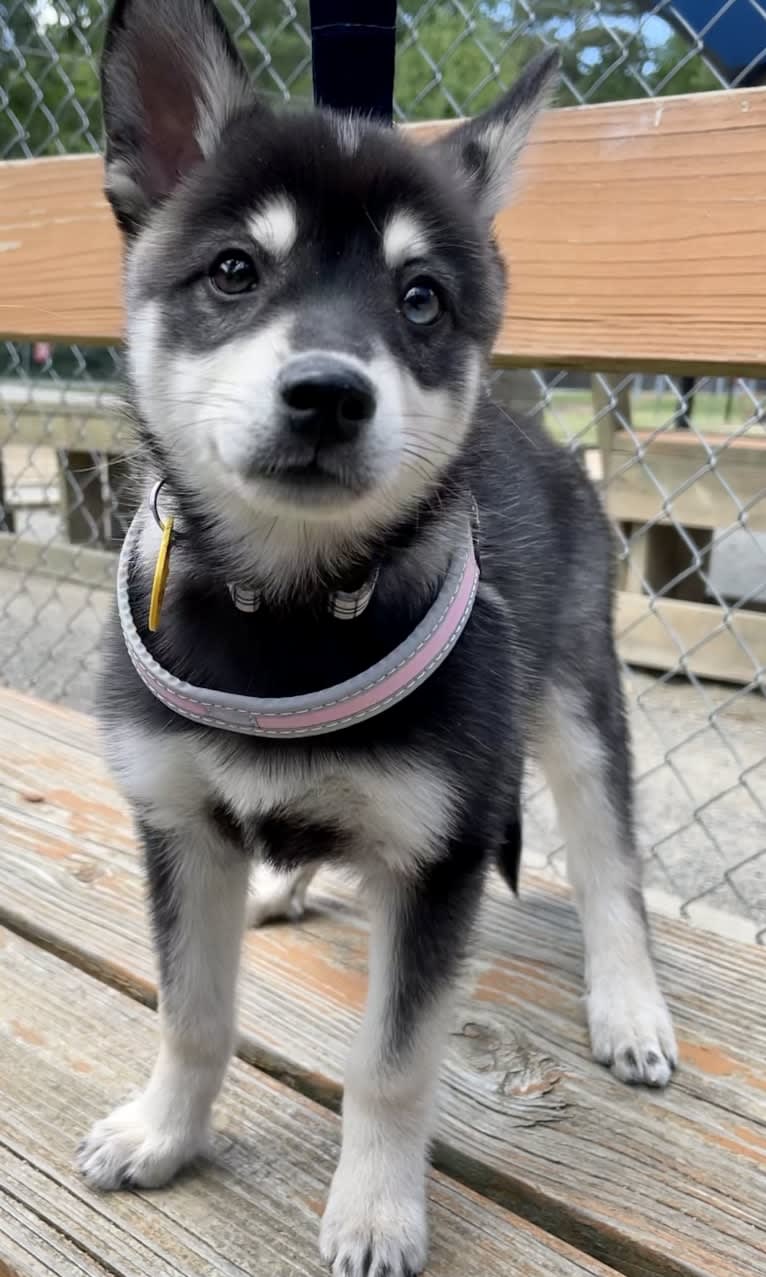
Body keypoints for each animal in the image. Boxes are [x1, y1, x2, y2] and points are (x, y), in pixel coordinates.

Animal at [77, 4, 674, 1271]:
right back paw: (282, 882)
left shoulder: (436, 857)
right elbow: (192, 1008)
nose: (328, 395)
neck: (290, 607)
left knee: (610, 864)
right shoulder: (176, 820)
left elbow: (393, 1064)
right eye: (234, 270)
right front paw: (164, 1131)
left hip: (577, 699)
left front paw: (375, 1209)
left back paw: (629, 1002)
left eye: (421, 300)